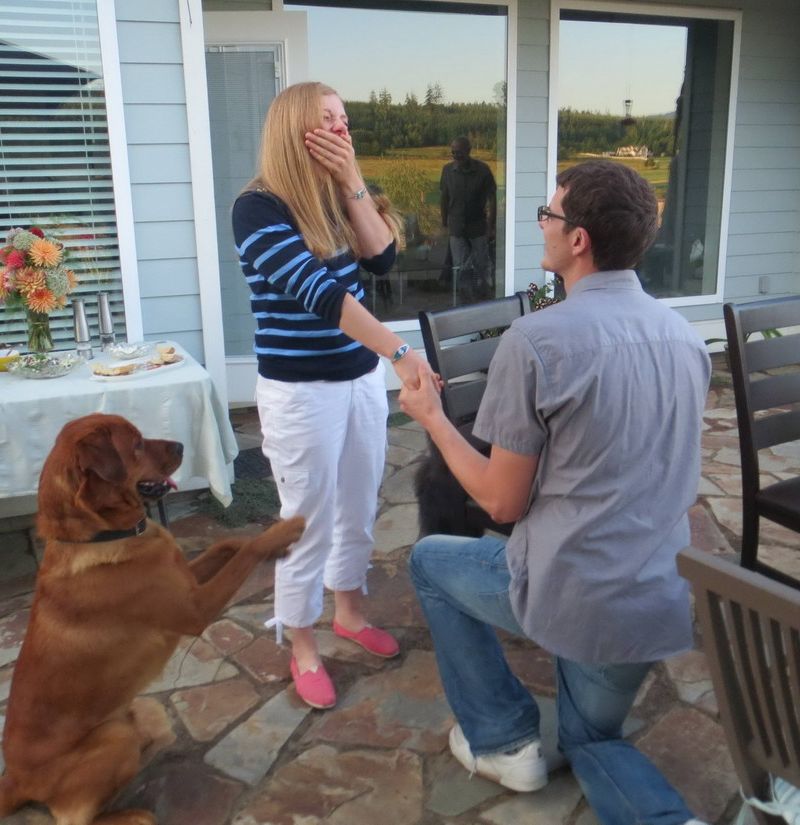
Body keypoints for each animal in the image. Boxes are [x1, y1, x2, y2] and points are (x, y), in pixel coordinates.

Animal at [0, 413, 304, 825]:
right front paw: (283, 531)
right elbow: (246, 552)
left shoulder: (189, 582)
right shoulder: (196, 608)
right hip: (113, 738)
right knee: (74, 818)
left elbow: (230, 544)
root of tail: (14, 780)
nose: (181, 445)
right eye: (137, 444)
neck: (102, 536)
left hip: (139, 709)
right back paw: (134, 813)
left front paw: (270, 540)